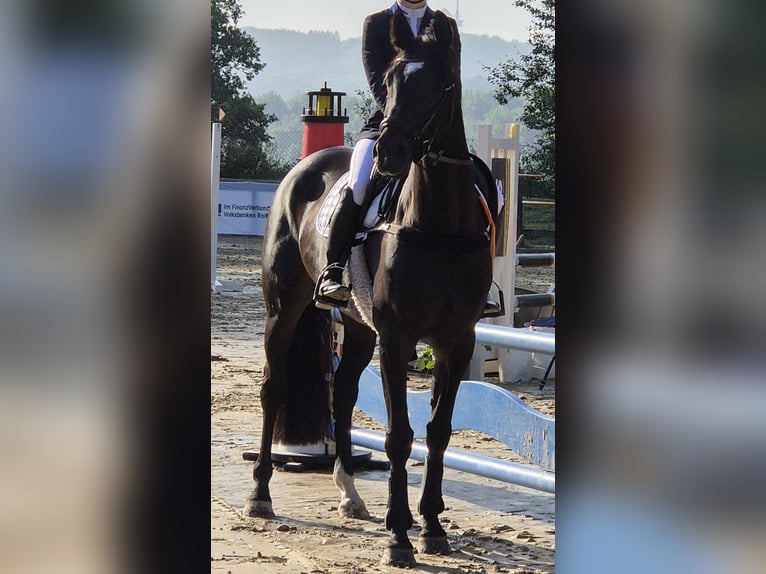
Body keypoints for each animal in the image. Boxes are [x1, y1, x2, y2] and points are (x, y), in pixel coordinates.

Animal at [244, 11, 494, 567]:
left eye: (441, 84)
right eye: (392, 81)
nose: (389, 151)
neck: (440, 226)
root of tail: (301, 170)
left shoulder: (457, 339)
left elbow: (438, 431)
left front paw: (432, 527)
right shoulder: (398, 337)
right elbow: (399, 436)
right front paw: (400, 537)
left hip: (358, 326)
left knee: (344, 392)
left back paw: (350, 494)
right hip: (283, 306)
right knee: (273, 387)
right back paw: (260, 495)